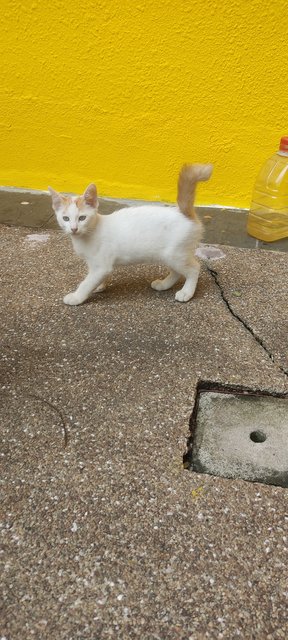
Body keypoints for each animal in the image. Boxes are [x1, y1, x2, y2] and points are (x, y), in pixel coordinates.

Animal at [48, 164, 213, 306]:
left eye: (82, 218)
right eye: (65, 218)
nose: (74, 229)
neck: (90, 231)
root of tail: (184, 213)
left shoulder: (101, 265)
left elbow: (86, 282)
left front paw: (77, 297)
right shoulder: (97, 264)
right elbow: (96, 277)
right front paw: (99, 285)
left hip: (175, 254)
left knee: (194, 268)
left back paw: (186, 292)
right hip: (168, 254)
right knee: (177, 272)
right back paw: (164, 284)